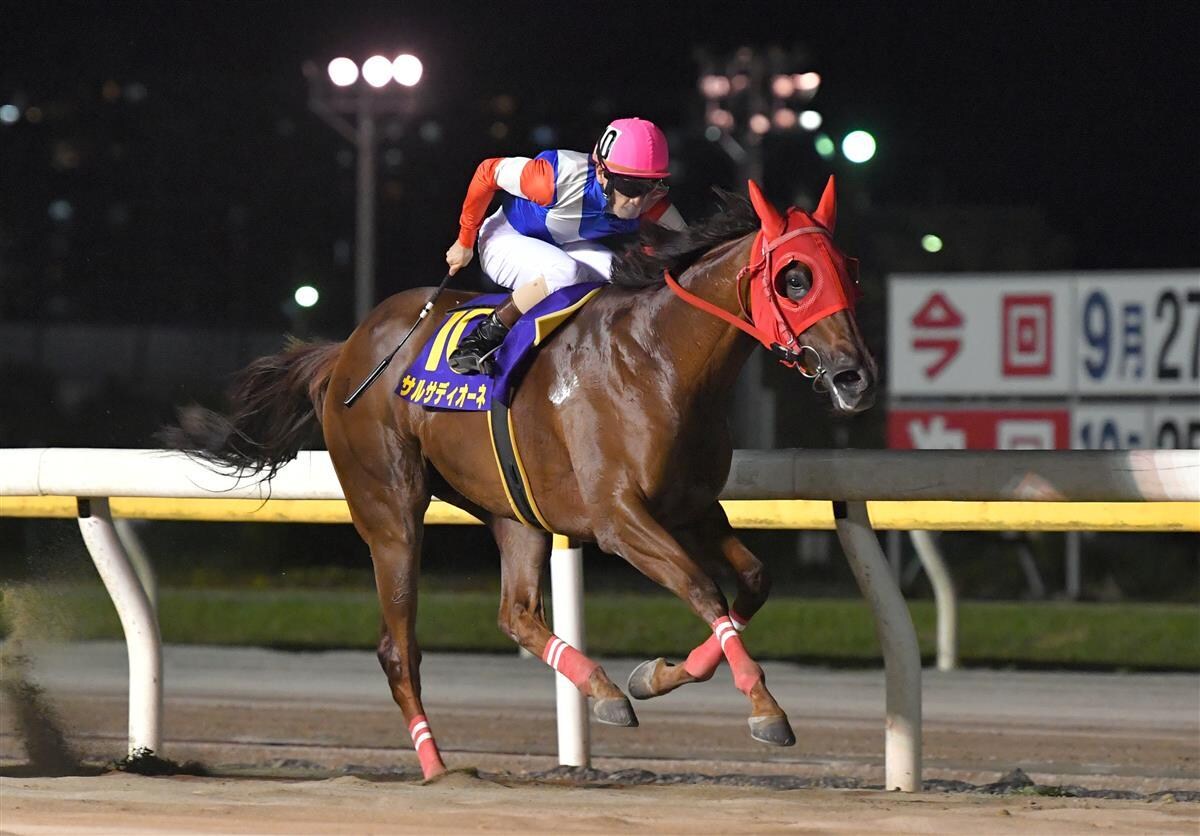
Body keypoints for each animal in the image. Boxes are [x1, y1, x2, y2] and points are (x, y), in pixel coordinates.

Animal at [163, 178, 877, 780]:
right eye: (794, 277)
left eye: (849, 270)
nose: (855, 377)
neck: (660, 361)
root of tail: (347, 351)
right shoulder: (620, 519)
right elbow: (706, 589)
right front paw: (766, 709)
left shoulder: (696, 508)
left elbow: (752, 583)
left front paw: (652, 677)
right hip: (390, 510)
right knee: (400, 648)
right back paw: (437, 768)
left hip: (514, 513)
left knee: (516, 614)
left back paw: (602, 691)